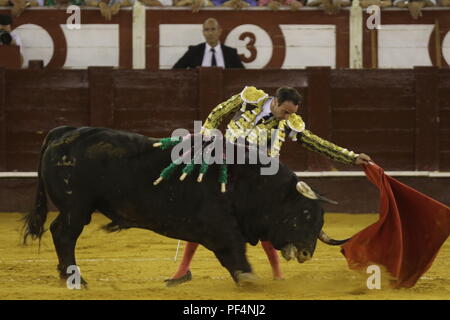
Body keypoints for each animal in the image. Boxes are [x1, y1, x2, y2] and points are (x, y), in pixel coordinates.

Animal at [22, 125, 348, 284]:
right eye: (304, 213)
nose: (307, 253)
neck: (252, 184)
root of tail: (63, 133)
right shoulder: (219, 226)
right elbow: (233, 250)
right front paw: (249, 278)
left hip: (75, 208)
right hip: (76, 207)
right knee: (64, 234)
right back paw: (74, 277)